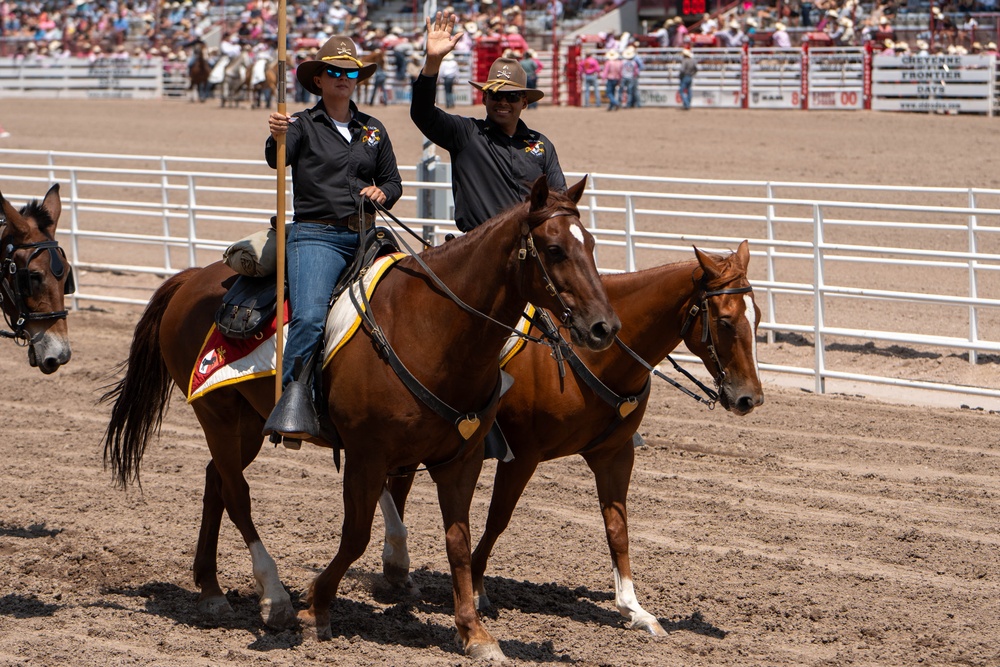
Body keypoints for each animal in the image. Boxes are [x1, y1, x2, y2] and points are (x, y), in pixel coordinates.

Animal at [101, 177, 616, 664]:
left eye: (592, 244)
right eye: (554, 249)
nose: (604, 327)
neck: (432, 326)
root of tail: (190, 279)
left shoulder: (460, 459)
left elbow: (458, 541)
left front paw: (475, 634)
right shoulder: (367, 455)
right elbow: (356, 536)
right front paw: (315, 608)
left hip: (245, 422)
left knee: (216, 483)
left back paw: (211, 592)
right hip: (218, 414)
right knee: (237, 495)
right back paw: (275, 598)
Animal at [378, 239, 760, 632]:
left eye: (757, 317)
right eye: (725, 320)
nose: (750, 397)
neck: (587, 357)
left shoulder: (615, 455)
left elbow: (617, 527)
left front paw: (633, 608)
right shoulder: (522, 455)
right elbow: (498, 518)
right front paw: (478, 589)